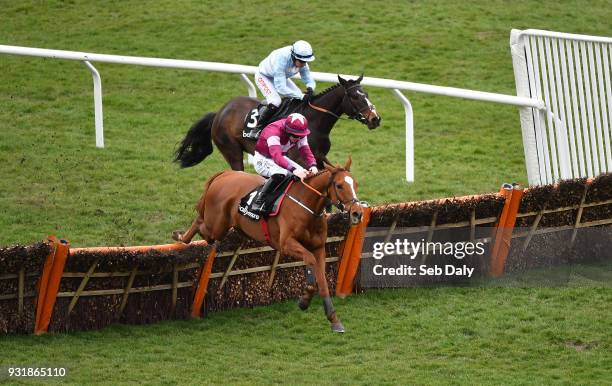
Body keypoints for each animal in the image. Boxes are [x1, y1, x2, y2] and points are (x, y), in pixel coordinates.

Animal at [172, 75, 380, 170]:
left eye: (367, 94)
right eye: (355, 96)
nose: (375, 119)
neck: (314, 122)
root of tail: (219, 112)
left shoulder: (320, 157)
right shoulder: (300, 160)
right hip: (231, 150)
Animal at [172, 157, 364, 332]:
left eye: (355, 184)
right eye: (339, 185)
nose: (357, 213)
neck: (307, 205)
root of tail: (224, 174)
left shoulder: (319, 247)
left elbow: (323, 281)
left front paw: (334, 320)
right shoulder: (286, 243)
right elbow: (309, 262)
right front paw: (304, 300)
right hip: (216, 227)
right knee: (200, 223)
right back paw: (180, 236)